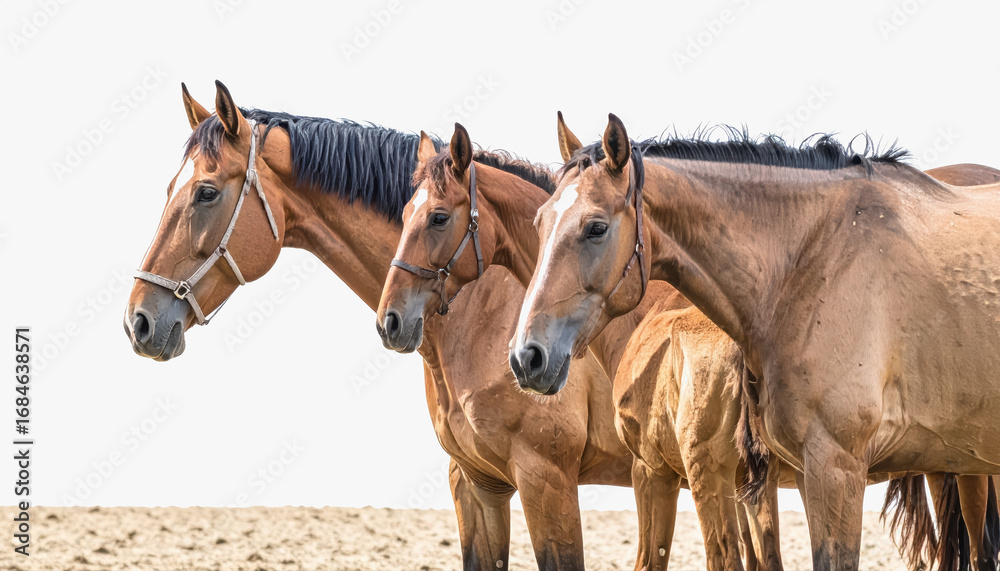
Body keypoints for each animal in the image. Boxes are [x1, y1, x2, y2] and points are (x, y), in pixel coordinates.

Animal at [509, 112, 1000, 570]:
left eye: (595, 227)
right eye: (539, 222)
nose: (525, 357)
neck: (814, 259)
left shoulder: (836, 468)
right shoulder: (805, 474)